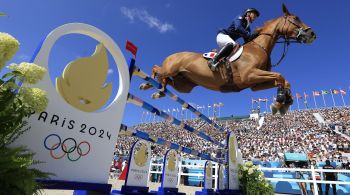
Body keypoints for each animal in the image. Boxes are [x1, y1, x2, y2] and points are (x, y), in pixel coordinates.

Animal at [141, 4, 316, 115]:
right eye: (296, 18)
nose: (312, 34)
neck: (259, 47)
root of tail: (173, 55)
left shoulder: (254, 84)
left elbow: (284, 80)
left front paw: (283, 102)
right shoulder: (249, 75)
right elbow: (280, 76)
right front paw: (280, 102)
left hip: (183, 85)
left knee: (167, 81)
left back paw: (158, 90)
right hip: (171, 69)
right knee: (157, 68)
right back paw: (148, 84)